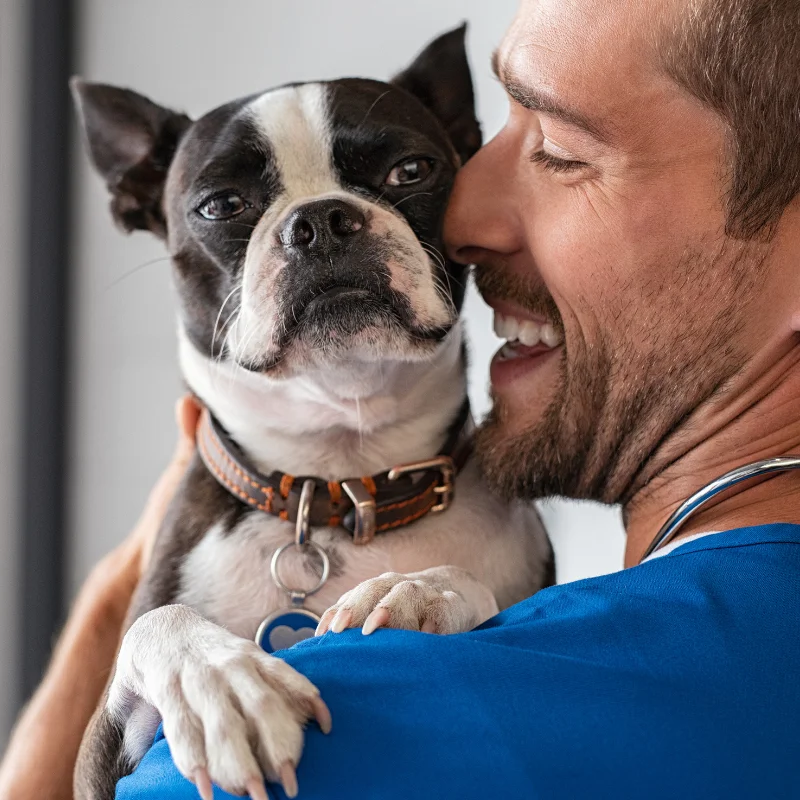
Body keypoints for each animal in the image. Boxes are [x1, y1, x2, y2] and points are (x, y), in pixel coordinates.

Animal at [72, 25, 552, 800]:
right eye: (221, 205)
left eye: (411, 170)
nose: (321, 220)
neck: (338, 478)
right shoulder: (94, 758)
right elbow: (158, 624)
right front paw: (220, 682)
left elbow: (469, 584)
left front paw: (420, 590)